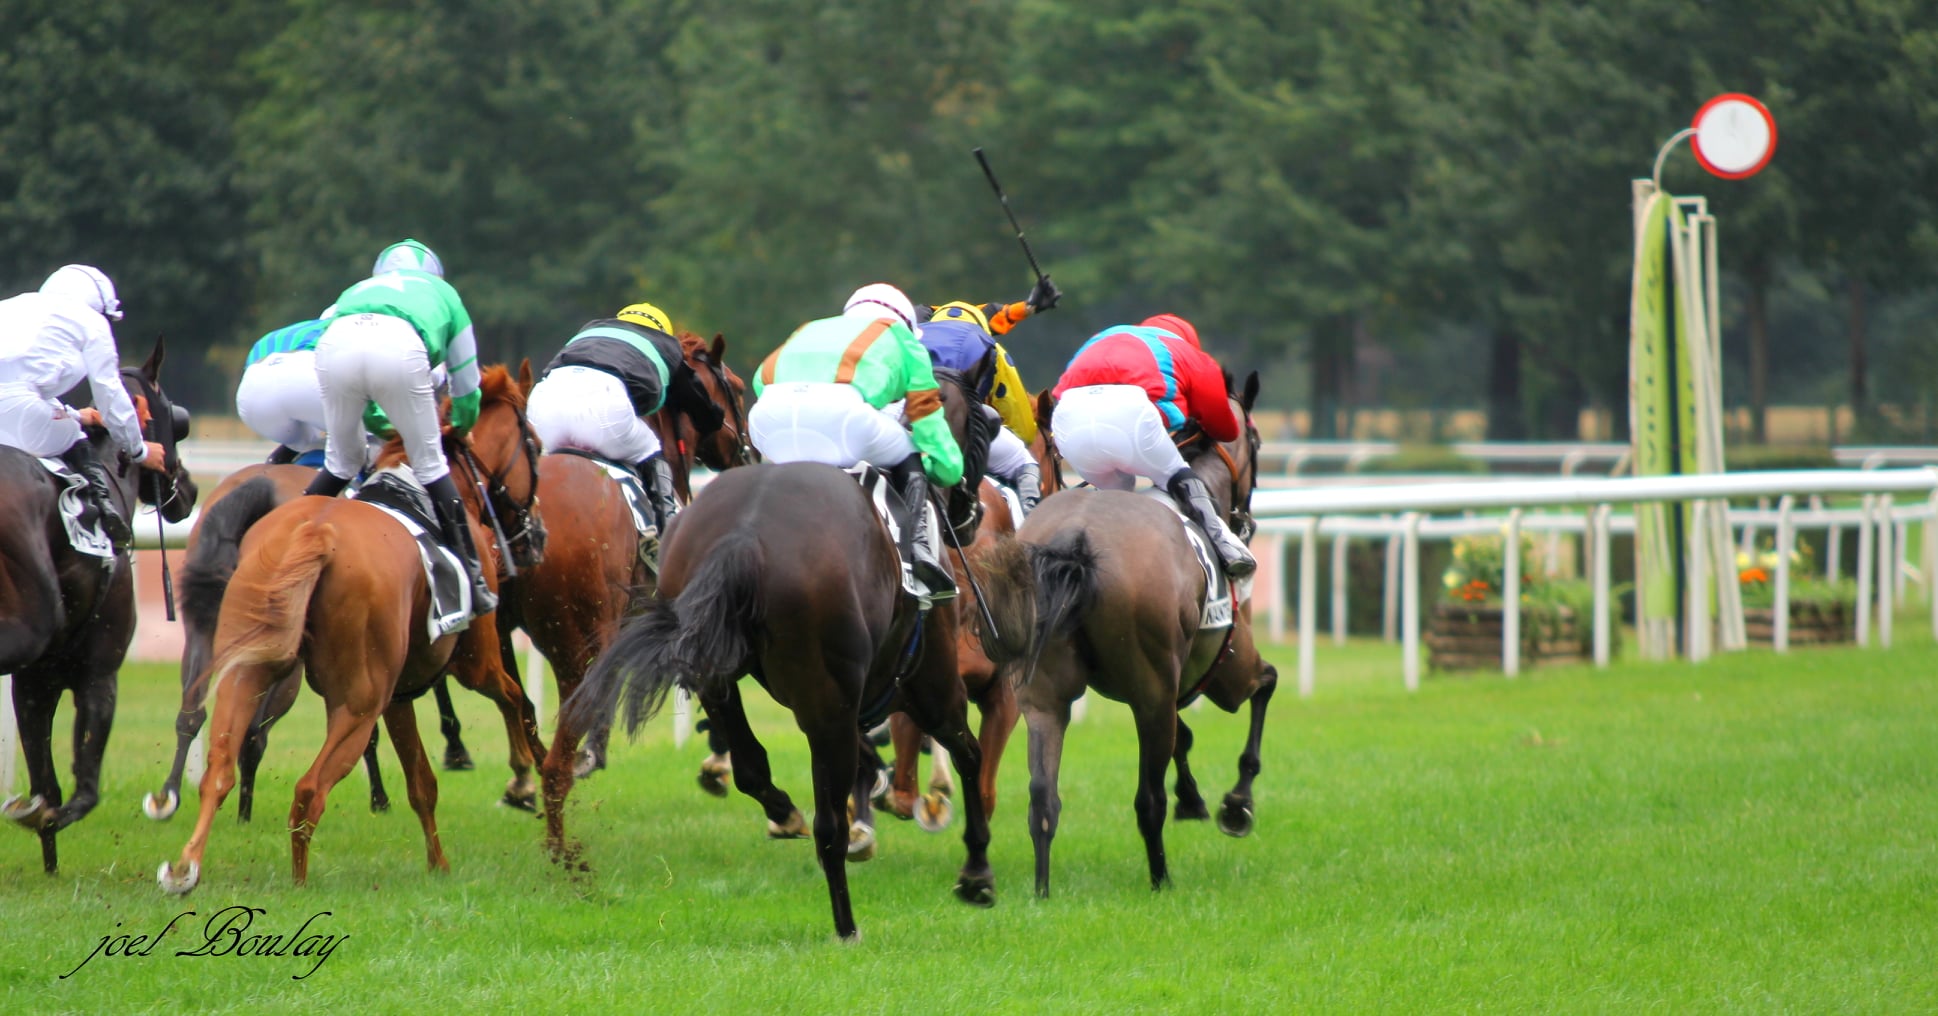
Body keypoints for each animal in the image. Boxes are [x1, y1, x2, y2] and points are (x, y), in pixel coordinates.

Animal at [2, 339, 198, 872]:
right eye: (177, 420)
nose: (190, 490)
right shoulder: (98, 674)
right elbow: (83, 791)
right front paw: (43, 818)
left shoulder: (37, 680)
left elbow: (47, 783)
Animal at [155, 362, 550, 888]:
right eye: (536, 445)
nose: (537, 535)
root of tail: (314, 533)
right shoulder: (474, 662)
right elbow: (516, 700)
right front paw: (528, 776)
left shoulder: (399, 695)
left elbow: (422, 783)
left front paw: (439, 864)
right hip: (357, 703)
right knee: (309, 788)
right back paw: (298, 882)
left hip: (253, 667)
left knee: (218, 764)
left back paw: (185, 865)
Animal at [558, 383, 1046, 946]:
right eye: (986, 426)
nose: (973, 512)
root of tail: (746, 534)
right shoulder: (928, 686)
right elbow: (969, 756)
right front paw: (976, 874)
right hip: (838, 696)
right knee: (828, 823)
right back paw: (846, 923)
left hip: (718, 676)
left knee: (753, 766)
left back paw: (785, 812)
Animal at [1007, 376, 1279, 899]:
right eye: (1256, 440)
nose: (1247, 522)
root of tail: (1078, 539)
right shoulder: (1227, 669)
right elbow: (1265, 685)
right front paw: (1236, 804)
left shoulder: (1174, 681)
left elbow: (1184, 735)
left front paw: (1194, 798)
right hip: (1149, 690)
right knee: (1146, 800)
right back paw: (1161, 879)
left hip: (1044, 696)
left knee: (1042, 799)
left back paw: (1041, 891)